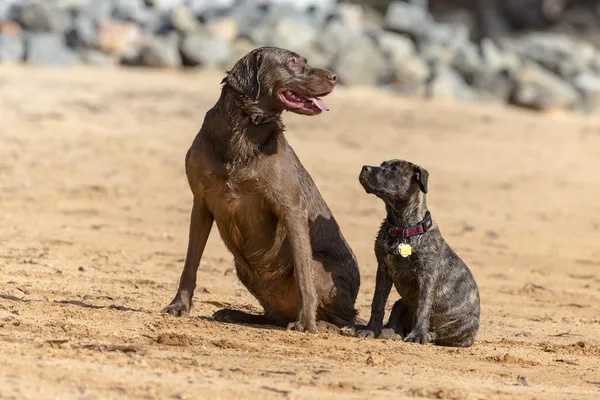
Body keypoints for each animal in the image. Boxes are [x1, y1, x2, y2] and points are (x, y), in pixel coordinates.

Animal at [163, 46, 360, 334]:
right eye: (292, 61)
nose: (335, 77)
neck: (244, 131)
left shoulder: (291, 209)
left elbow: (303, 275)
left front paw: (305, 323)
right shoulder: (200, 202)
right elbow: (190, 261)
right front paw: (179, 306)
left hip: (323, 269)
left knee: (343, 320)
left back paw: (322, 324)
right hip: (242, 269)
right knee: (272, 315)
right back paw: (233, 314)